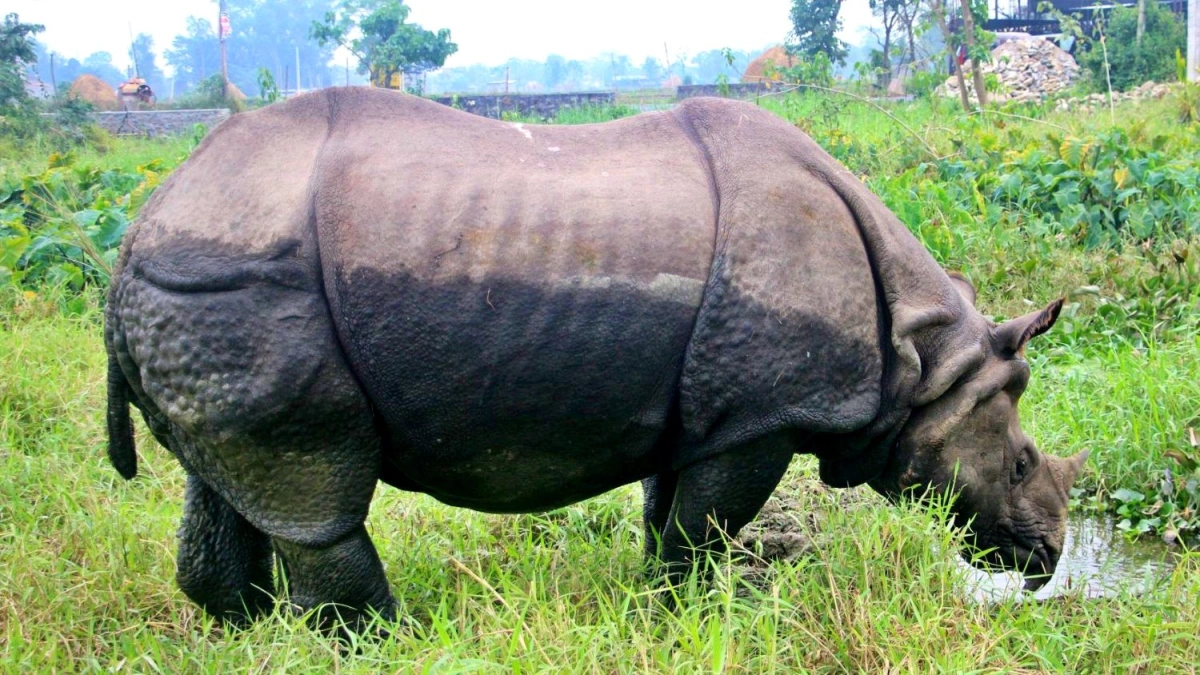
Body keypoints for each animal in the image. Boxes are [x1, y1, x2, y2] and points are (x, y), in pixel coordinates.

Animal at [104, 88, 1087, 629]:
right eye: (1024, 461)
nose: (1048, 558)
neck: (922, 358)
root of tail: (135, 233)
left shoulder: (707, 405)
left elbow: (670, 511)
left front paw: (668, 606)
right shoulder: (760, 415)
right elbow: (702, 526)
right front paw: (701, 609)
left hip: (200, 297)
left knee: (236, 485)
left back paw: (253, 630)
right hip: (237, 287)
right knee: (319, 493)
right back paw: (389, 640)